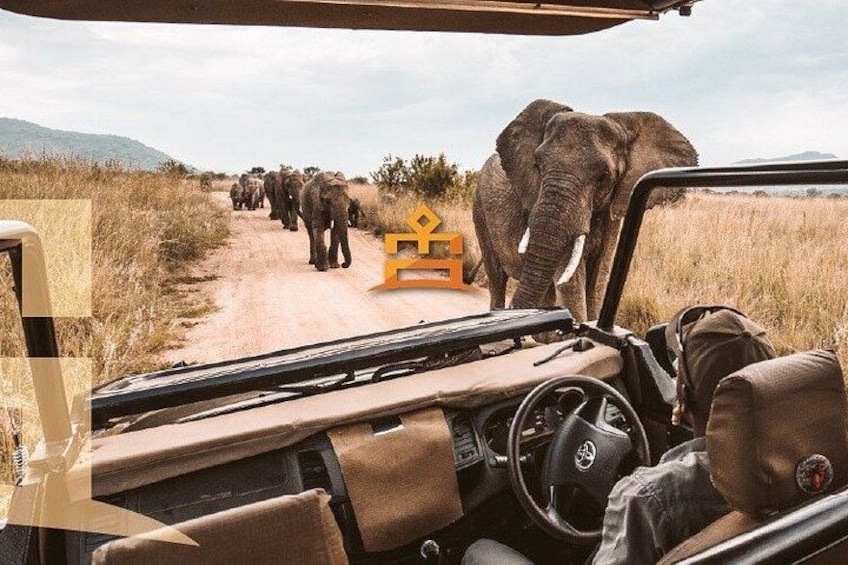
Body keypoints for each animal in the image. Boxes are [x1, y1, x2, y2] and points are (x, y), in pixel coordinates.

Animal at [473, 99, 697, 325]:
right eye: (537, 166)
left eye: (603, 177)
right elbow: (571, 284)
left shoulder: (613, 208)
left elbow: (598, 279)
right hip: (479, 210)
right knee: (497, 280)